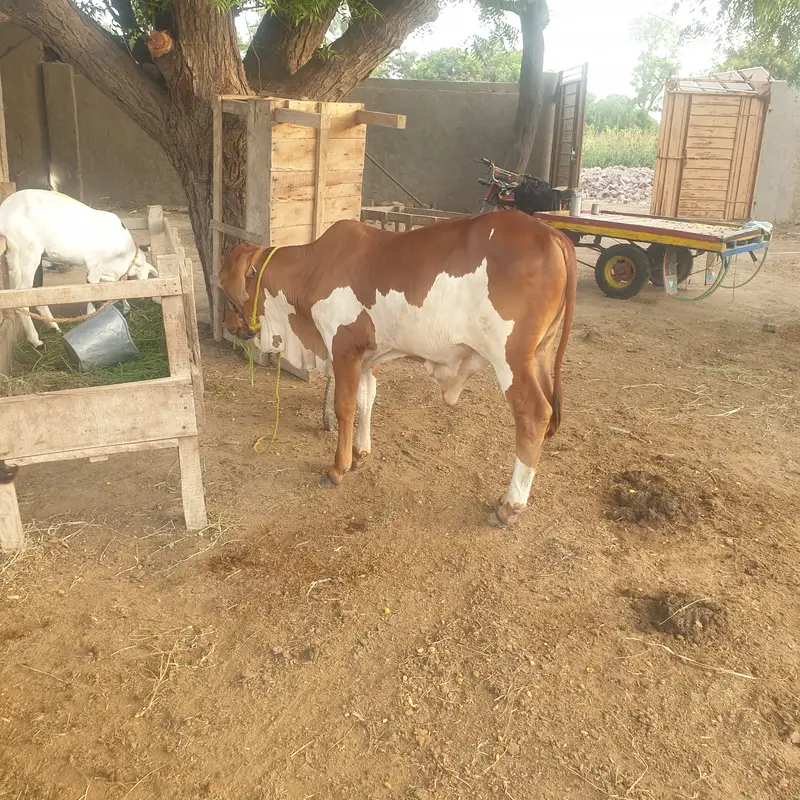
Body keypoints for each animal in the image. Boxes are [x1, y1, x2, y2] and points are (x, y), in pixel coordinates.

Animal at [219, 210, 577, 527]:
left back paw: (510, 506)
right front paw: (360, 454)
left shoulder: (343, 347)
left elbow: (344, 407)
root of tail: (552, 235)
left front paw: (338, 468)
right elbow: (366, 401)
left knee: (534, 415)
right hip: (540, 354)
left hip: (511, 359)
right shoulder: (368, 355)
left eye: (223, 285)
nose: (228, 325)